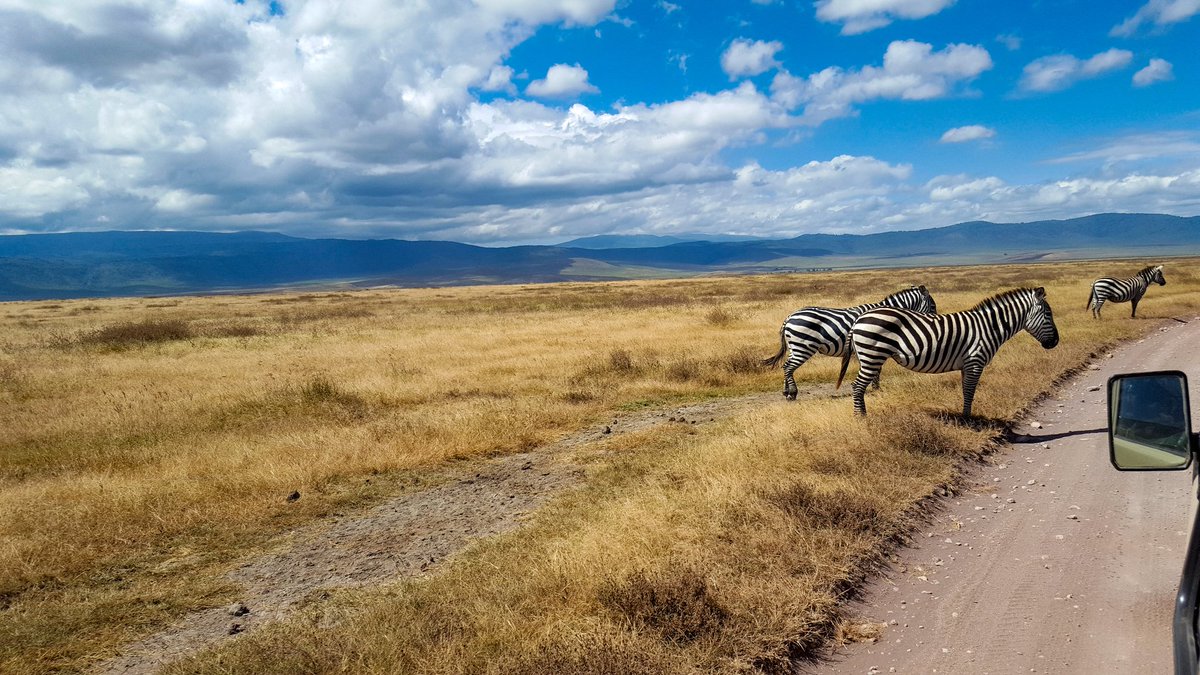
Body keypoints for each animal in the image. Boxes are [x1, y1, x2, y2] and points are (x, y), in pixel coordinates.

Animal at [763, 285, 937, 400]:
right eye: (933, 307)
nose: (934, 322)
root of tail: (789, 317)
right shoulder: (877, 345)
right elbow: (877, 370)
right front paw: (876, 389)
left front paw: (873, 387)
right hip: (803, 346)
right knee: (788, 367)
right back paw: (792, 393)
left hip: (795, 346)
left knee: (786, 366)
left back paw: (786, 392)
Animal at [836, 287, 1059, 417]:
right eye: (1048, 314)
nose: (1056, 342)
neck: (990, 326)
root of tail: (860, 318)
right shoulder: (975, 362)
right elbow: (970, 391)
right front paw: (968, 420)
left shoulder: (966, 365)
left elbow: (965, 390)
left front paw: (965, 416)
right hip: (872, 355)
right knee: (857, 386)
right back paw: (861, 418)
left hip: (870, 356)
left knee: (859, 385)